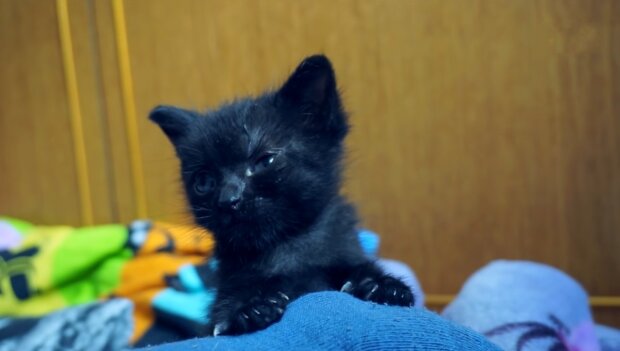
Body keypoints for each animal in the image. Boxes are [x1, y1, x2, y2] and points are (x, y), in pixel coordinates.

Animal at [149, 53, 416, 336]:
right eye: (204, 181)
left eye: (265, 160)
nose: (228, 200)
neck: (286, 247)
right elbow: (224, 317)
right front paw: (248, 310)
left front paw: (382, 286)